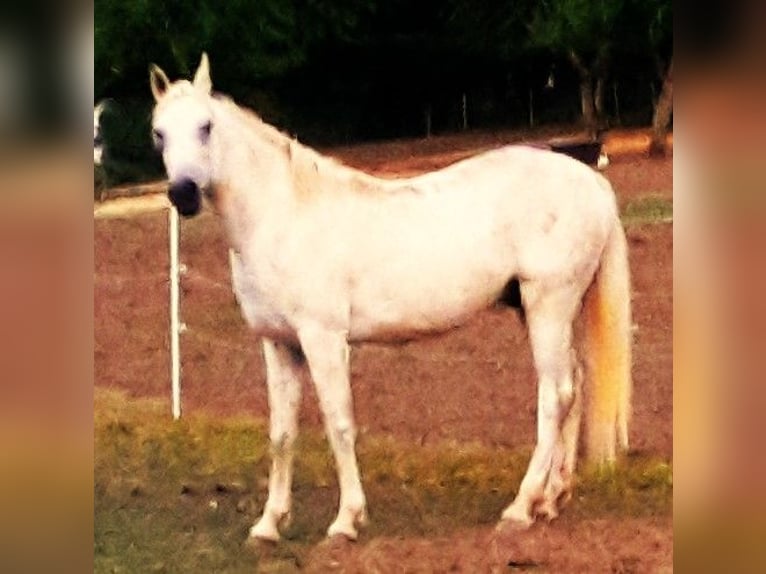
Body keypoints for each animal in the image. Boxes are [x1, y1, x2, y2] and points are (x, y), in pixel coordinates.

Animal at [152, 55, 636, 544]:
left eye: (206, 126)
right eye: (159, 132)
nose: (183, 193)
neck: (283, 217)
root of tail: (591, 181)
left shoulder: (324, 340)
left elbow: (339, 424)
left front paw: (346, 520)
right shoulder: (279, 344)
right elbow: (282, 435)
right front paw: (269, 524)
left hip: (548, 307)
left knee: (555, 395)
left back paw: (521, 507)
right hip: (545, 310)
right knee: (573, 387)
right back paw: (551, 500)